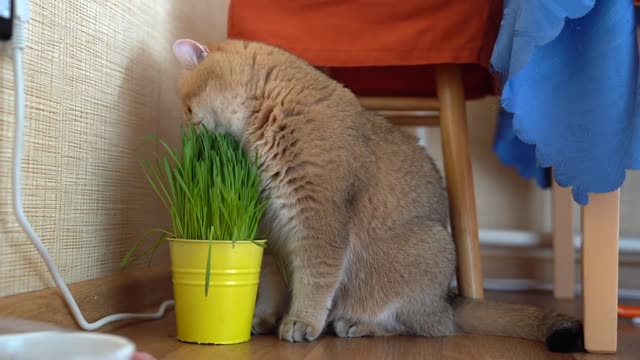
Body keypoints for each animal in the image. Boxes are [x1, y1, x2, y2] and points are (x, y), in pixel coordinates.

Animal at [172, 38, 584, 352]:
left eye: (188, 105)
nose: (187, 130)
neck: (269, 115)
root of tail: (448, 297)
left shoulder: (319, 222)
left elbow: (315, 277)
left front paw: (301, 321)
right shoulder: (272, 231)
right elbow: (272, 279)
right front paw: (263, 317)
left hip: (427, 252)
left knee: (433, 327)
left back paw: (356, 324)